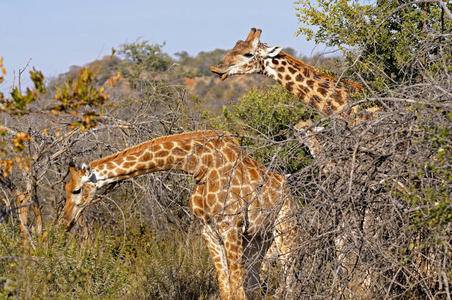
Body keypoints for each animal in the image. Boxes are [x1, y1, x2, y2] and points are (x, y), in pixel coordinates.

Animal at [61, 131, 300, 300]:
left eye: (77, 190)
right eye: (65, 189)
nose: (67, 222)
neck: (199, 165)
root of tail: (288, 190)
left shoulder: (230, 226)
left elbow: (237, 291)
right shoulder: (208, 230)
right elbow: (226, 290)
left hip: (285, 231)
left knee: (290, 283)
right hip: (257, 240)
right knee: (257, 286)